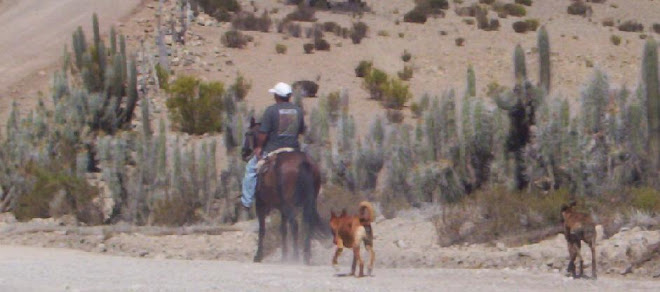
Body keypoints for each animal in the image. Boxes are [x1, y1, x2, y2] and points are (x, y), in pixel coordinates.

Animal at [240, 117, 328, 264]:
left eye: (248, 133)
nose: (244, 152)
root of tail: (304, 163)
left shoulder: (261, 204)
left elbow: (262, 229)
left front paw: (258, 256)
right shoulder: (282, 209)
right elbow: (283, 229)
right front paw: (284, 256)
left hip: (289, 205)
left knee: (295, 225)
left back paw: (296, 256)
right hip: (307, 203)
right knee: (307, 224)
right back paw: (306, 256)